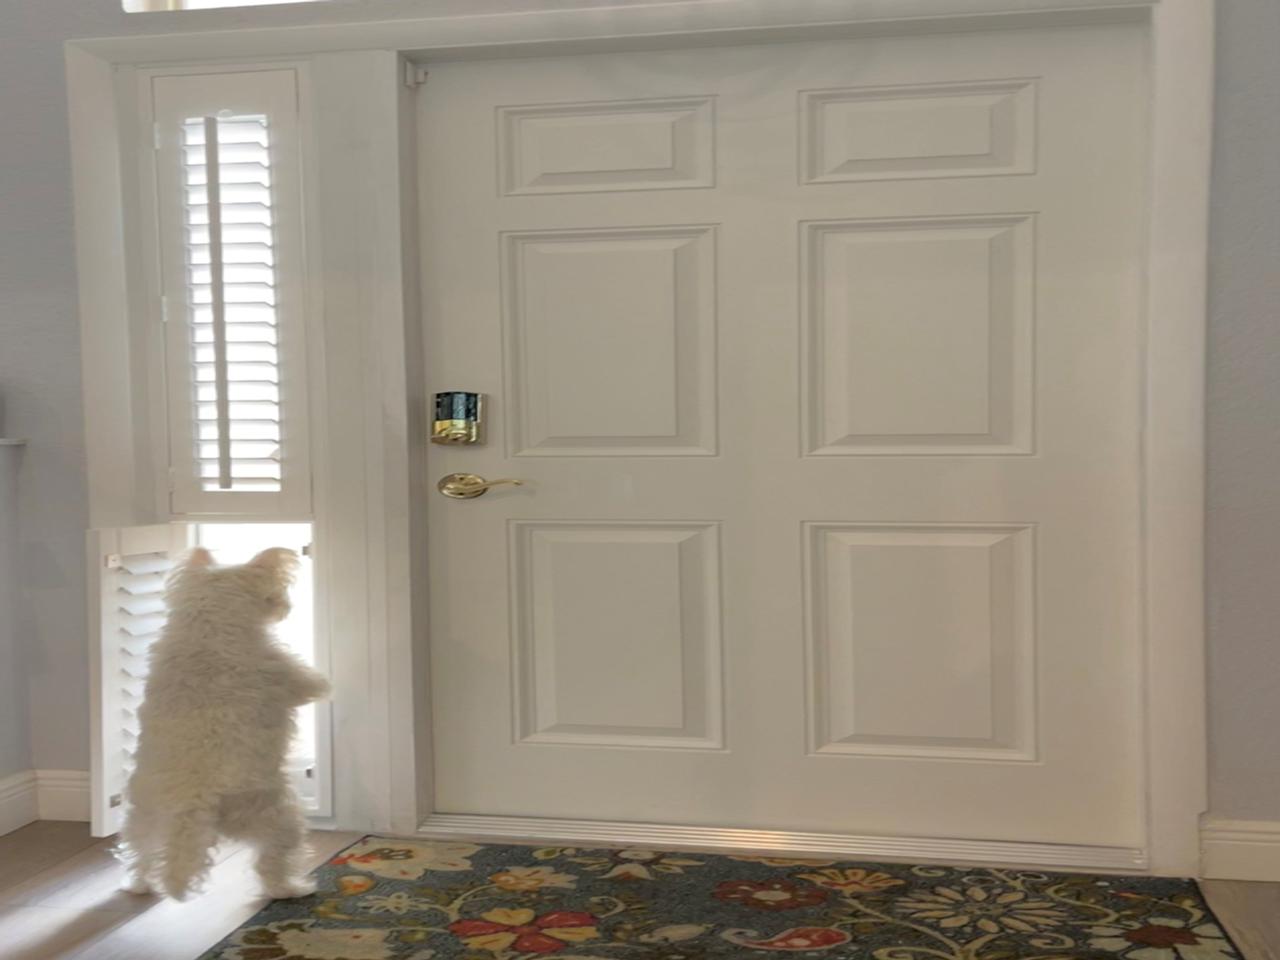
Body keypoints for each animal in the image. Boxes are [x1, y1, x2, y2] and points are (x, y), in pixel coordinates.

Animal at [117, 547, 332, 901]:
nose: (287, 608)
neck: (208, 623)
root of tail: (193, 802)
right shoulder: (294, 679)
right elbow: (318, 684)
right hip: (277, 819)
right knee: (273, 861)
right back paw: (291, 889)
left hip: (143, 818)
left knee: (141, 854)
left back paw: (139, 885)